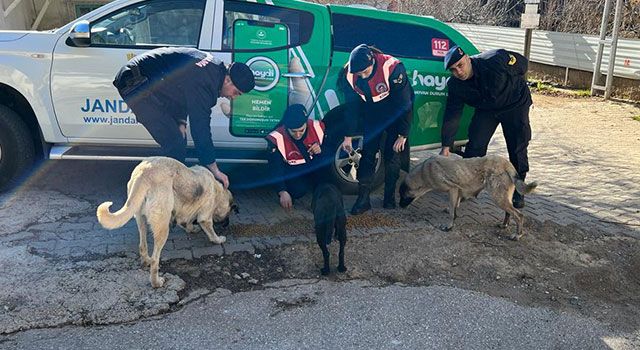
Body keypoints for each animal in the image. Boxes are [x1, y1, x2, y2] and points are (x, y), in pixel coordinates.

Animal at [99, 158, 239, 288]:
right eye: (228, 214)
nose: (227, 224)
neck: (217, 189)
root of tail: (144, 173)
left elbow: (186, 221)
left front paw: (191, 228)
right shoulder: (205, 216)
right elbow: (210, 230)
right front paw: (218, 239)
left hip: (140, 218)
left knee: (143, 245)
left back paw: (146, 260)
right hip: (162, 228)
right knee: (155, 260)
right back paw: (156, 282)